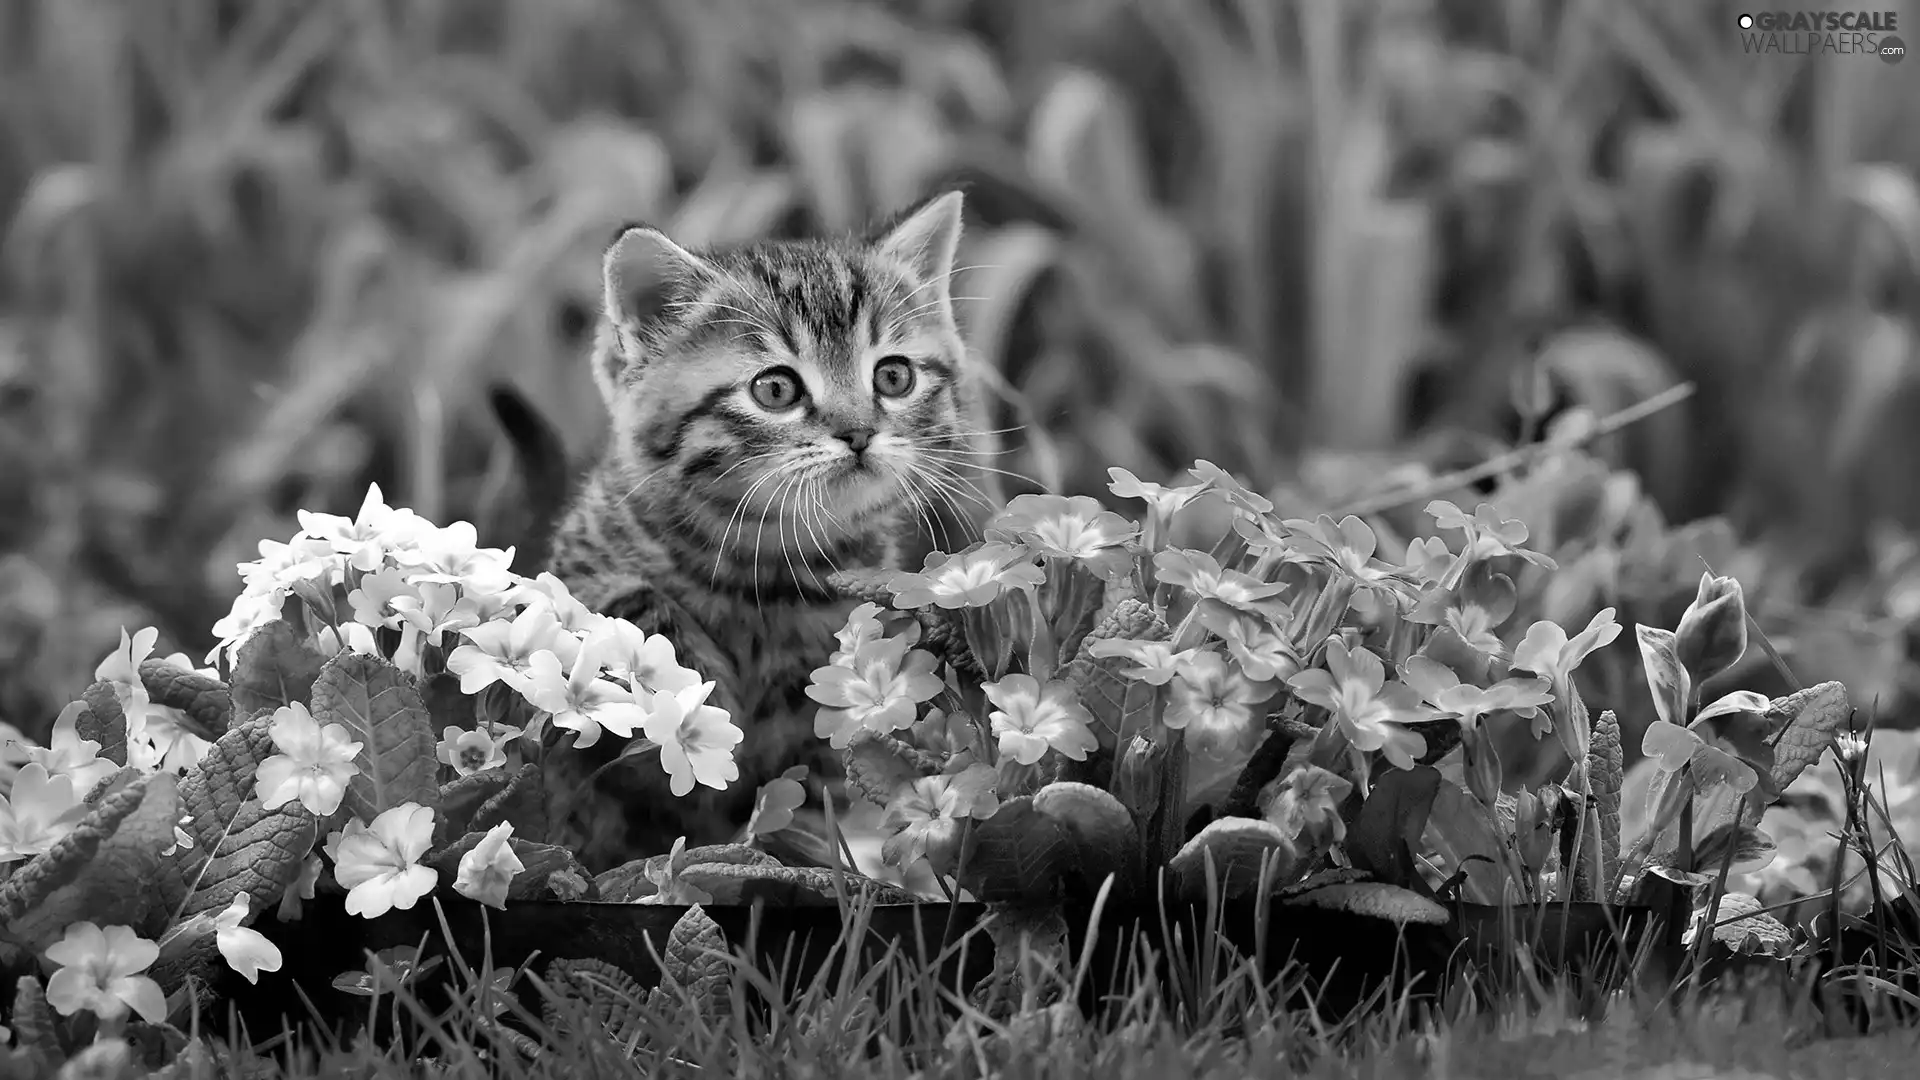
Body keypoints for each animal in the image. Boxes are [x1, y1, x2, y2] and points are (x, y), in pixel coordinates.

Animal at [541, 191, 990, 864]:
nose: (859, 433)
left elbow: (807, 799)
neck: (762, 560)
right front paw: (696, 691)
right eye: (775, 389)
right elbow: (621, 603)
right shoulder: (574, 570)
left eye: (894, 377)